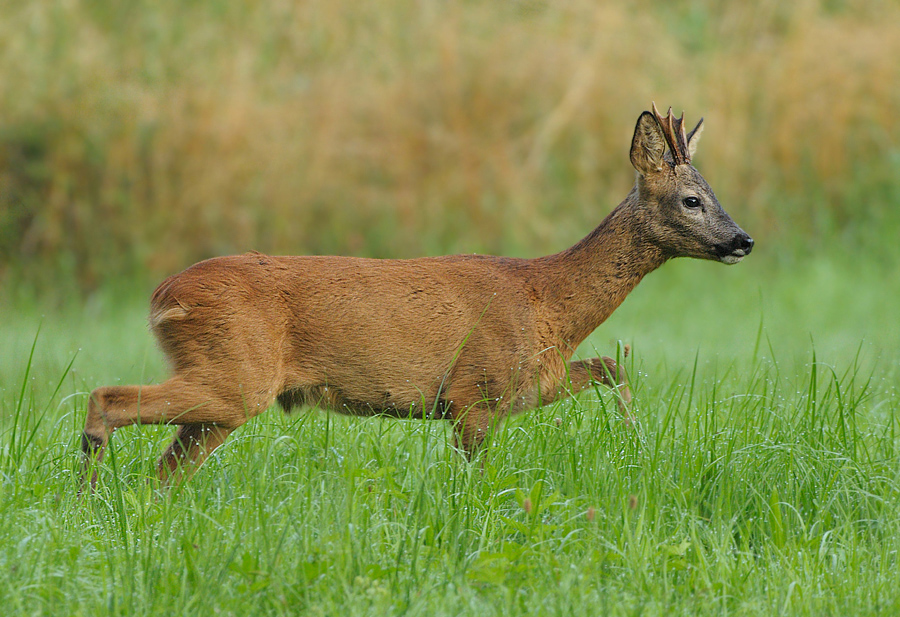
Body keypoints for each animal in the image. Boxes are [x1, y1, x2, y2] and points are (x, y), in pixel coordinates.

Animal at [81, 104, 752, 486]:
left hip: (224, 392)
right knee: (105, 399)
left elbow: (613, 366)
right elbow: (472, 482)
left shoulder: (535, 383)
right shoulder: (474, 392)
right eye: (692, 199)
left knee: (163, 473)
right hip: (237, 372)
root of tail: (162, 297)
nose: (742, 240)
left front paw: (635, 437)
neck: (550, 302)